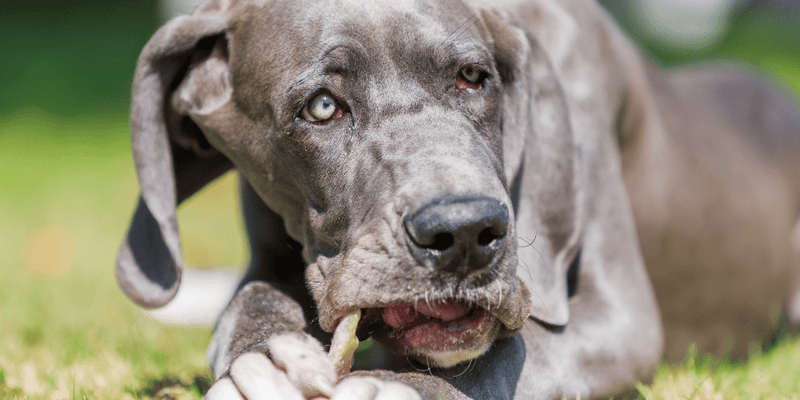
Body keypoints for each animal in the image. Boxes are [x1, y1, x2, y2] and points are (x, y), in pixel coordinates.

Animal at [114, 0, 800, 398]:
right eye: (322, 107)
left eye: (474, 78)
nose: (466, 233)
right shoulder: (263, 257)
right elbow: (249, 302)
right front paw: (264, 361)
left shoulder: (620, 316)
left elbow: (517, 355)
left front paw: (391, 387)